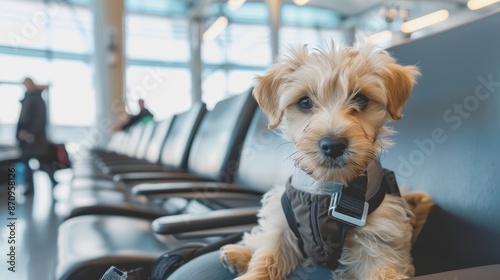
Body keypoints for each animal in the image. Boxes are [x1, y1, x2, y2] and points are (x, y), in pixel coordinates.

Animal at [221, 43, 432, 280]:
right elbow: (266, 258)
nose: (333, 145)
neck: (326, 190)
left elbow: (383, 271)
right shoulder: (281, 225)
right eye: (304, 102)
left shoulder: (379, 238)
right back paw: (238, 254)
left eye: (361, 99)